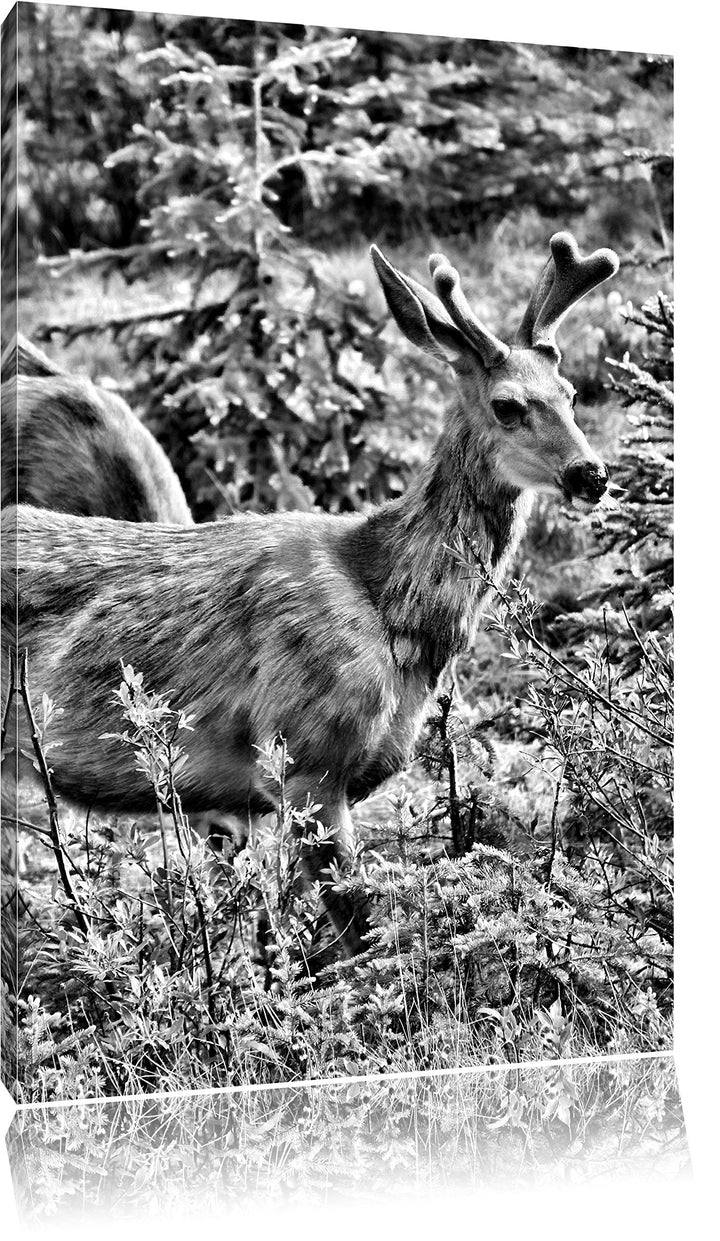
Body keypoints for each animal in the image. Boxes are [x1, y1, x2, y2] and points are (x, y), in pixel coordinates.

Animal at [3, 231, 619, 959]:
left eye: (571, 393)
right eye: (508, 404)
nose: (591, 474)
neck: (391, 608)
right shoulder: (308, 757)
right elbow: (359, 934)